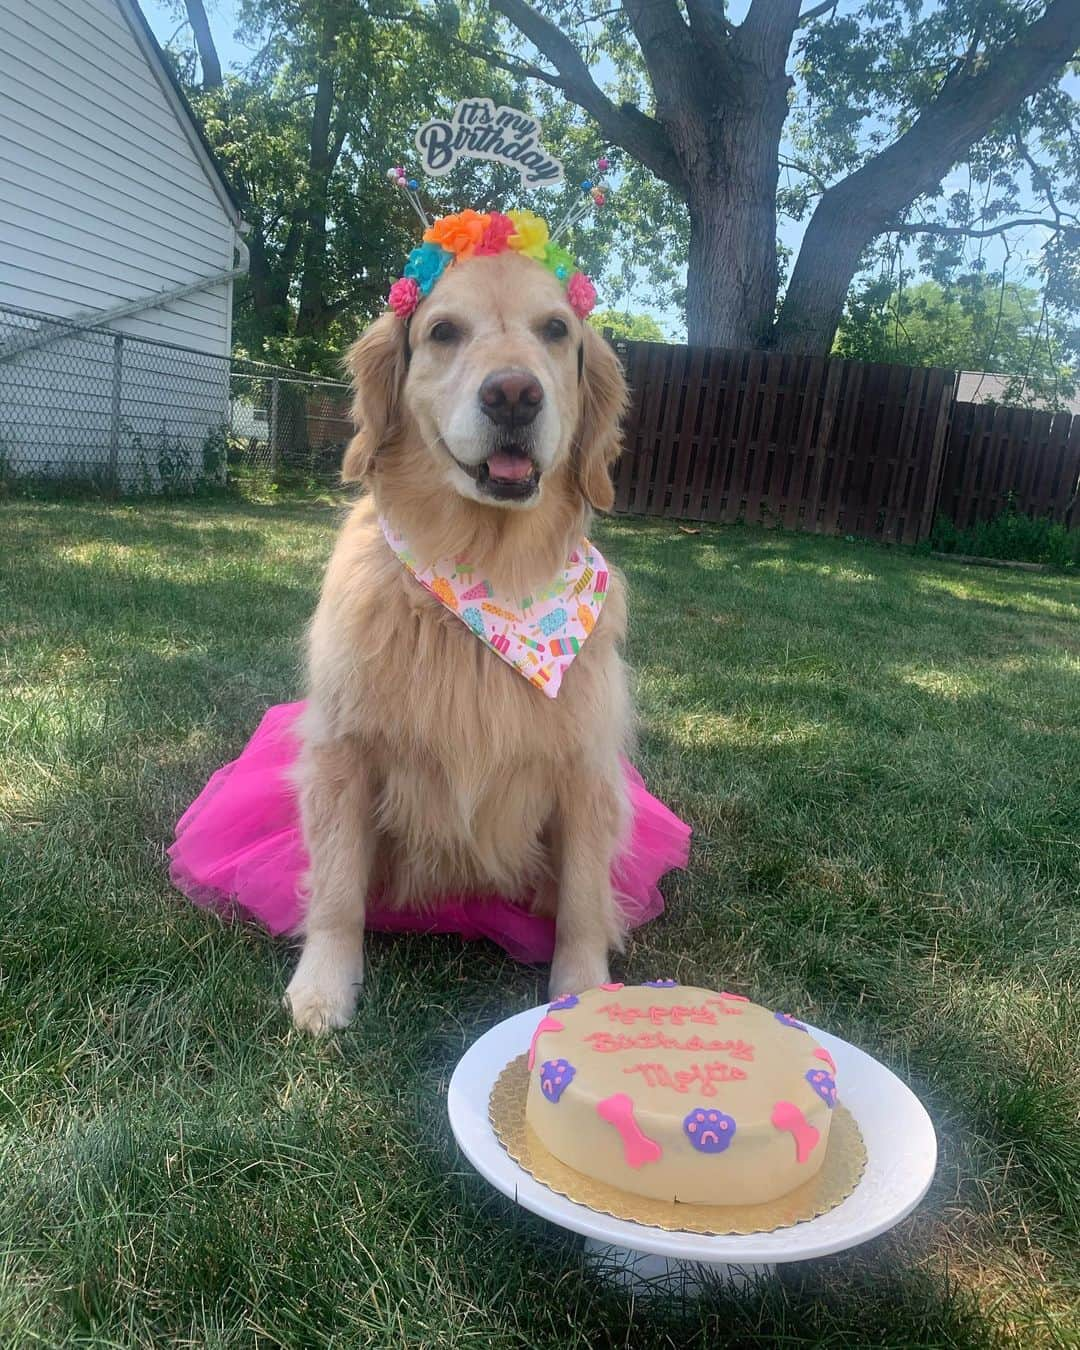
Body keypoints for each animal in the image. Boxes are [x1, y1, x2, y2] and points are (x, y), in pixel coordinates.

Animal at [286, 251, 631, 1031]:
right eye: (444, 331)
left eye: (556, 330)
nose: (513, 395)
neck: (487, 573)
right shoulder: (343, 754)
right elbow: (337, 887)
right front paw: (323, 983)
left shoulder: (586, 772)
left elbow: (584, 900)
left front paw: (586, 994)